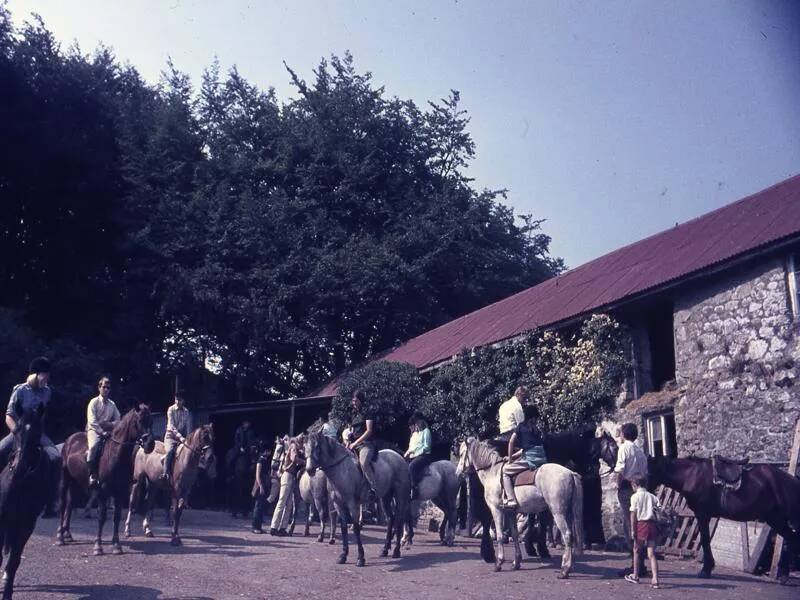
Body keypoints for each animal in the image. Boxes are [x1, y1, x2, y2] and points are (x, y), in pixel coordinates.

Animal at [57, 406, 154, 556]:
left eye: (151, 421)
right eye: (139, 421)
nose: (150, 444)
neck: (115, 455)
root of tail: (70, 440)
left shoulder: (120, 492)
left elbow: (116, 517)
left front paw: (117, 545)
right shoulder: (103, 491)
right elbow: (102, 516)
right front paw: (98, 546)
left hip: (76, 482)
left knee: (70, 503)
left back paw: (67, 534)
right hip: (65, 478)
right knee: (62, 504)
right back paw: (60, 537)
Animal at [304, 432, 410, 568]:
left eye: (317, 446)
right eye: (304, 446)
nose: (309, 469)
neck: (341, 470)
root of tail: (399, 457)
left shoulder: (352, 504)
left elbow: (355, 528)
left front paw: (360, 558)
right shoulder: (339, 504)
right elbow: (344, 528)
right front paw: (343, 556)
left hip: (400, 496)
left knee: (399, 520)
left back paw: (396, 551)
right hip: (385, 497)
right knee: (391, 519)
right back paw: (385, 550)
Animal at [460, 438, 584, 580]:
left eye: (461, 454)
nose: (459, 472)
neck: (493, 473)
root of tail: (570, 473)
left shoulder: (497, 510)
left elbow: (499, 536)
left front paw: (499, 563)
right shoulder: (510, 513)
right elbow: (514, 534)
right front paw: (516, 563)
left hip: (558, 512)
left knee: (567, 535)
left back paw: (564, 570)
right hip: (567, 513)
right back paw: (567, 566)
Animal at [648, 454, 800, 580]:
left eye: (648, 471)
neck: (691, 474)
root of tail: (793, 481)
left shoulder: (702, 514)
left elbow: (705, 540)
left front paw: (706, 570)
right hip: (775, 520)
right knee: (791, 539)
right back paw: (783, 575)